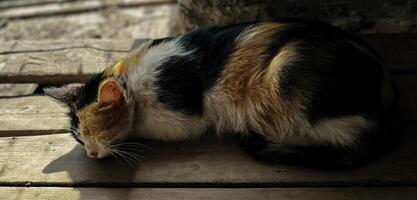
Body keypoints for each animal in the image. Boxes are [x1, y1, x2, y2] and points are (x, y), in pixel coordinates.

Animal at [44, 19, 394, 167]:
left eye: (96, 134)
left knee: (351, 134)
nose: (91, 153)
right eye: (79, 139)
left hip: (288, 75)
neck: (131, 76)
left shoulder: (182, 118)